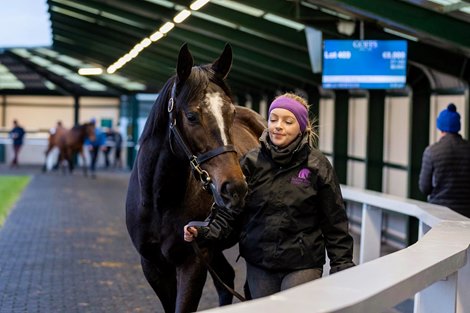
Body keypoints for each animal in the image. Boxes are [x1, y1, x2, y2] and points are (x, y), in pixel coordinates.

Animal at [125, 44, 266, 312]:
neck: (160, 200)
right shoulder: (153, 266)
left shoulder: (193, 263)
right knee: (226, 280)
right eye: (191, 116)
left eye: (231, 113)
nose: (235, 188)